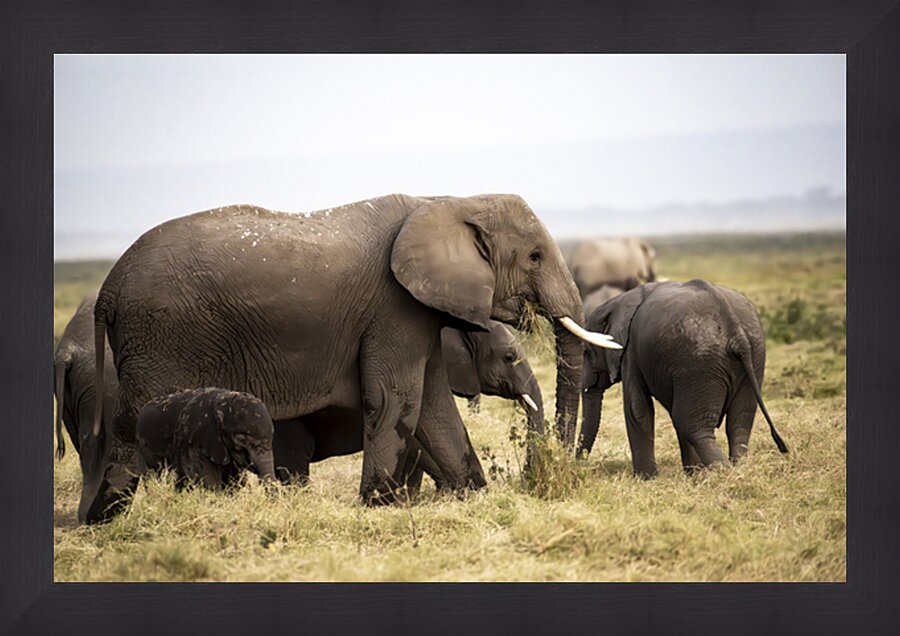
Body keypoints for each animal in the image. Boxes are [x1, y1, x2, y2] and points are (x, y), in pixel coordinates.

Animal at [579, 280, 788, 477]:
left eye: (587, 352)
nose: (578, 462)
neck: (619, 300)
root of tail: (735, 331)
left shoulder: (631, 352)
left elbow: (637, 409)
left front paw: (646, 479)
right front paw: (693, 473)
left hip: (700, 361)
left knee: (693, 426)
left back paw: (722, 474)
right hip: (753, 355)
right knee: (739, 422)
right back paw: (737, 471)